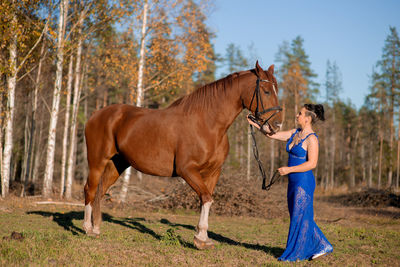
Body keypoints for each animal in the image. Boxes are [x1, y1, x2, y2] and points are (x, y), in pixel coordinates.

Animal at [83, 60, 282, 249]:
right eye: (266, 91)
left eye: (276, 89)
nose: (277, 125)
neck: (208, 124)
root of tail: (96, 114)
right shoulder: (187, 170)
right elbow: (206, 198)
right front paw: (200, 239)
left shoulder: (213, 172)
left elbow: (206, 200)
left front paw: (203, 238)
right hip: (97, 161)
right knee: (90, 189)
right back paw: (87, 228)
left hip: (117, 164)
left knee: (100, 191)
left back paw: (96, 228)